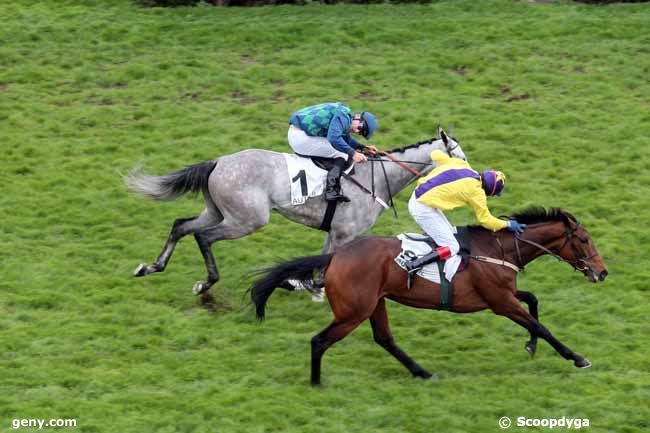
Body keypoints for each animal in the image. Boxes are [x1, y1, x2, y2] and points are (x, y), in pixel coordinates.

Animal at [124, 126, 464, 296]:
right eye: (460, 157)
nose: (473, 178)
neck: (378, 179)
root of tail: (218, 162)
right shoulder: (344, 234)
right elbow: (325, 269)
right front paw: (307, 287)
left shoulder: (335, 233)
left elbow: (318, 265)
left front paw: (295, 282)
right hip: (246, 219)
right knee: (204, 237)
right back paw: (205, 282)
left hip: (218, 211)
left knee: (182, 225)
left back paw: (151, 267)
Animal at [251, 207, 604, 384]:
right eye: (584, 240)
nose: (602, 272)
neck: (498, 249)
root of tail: (335, 256)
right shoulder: (500, 302)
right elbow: (540, 324)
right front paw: (577, 358)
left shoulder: (502, 294)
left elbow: (532, 301)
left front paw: (530, 345)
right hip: (354, 311)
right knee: (320, 341)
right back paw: (316, 383)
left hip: (374, 303)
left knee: (384, 339)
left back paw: (422, 372)